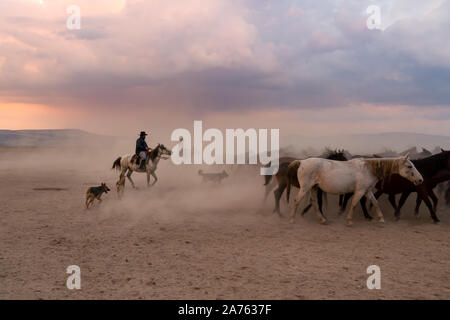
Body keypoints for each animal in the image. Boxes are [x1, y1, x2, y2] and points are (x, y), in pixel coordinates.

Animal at [288, 155, 422, 225]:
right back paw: (292, 219)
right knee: (296, 200)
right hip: (305, 188)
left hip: (313, 188)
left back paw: (322, 220)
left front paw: (381, 219)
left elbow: (375, 203)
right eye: (409, 166)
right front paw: (349, 220)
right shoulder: (360, 191)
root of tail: (302, 162)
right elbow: (354, 203)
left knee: (314, 202)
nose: (420, 180)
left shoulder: (367, 191)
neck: (369, 169)